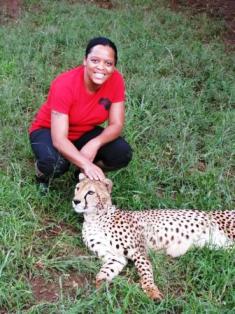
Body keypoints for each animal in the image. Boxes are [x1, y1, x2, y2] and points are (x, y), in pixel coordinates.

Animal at [72, 173, 234, 300]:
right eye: (77, 188)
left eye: (90, 192)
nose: (75, 201)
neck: (94, 218)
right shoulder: (114, 257)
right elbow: (105, 271)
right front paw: (99, 285)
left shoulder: (138, 252)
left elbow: (145, 271)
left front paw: (152, 291)